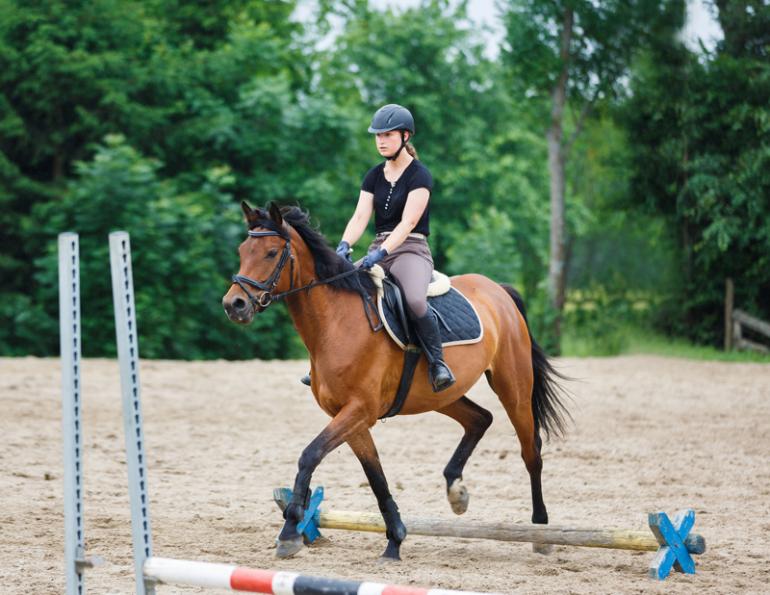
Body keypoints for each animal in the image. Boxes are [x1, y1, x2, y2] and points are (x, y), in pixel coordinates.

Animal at [222, 202, 570, 561]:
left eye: (271, 252)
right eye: (242, 251)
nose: (234, 305)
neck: (336, 322)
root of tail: (499, 290)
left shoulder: (360, 410)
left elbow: (310, 455)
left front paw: (290, 532)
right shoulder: (350, 417)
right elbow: (375, 475)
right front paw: (395, 539)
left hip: (513, 388)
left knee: (531, 452)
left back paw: (541, 532)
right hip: (440, 396)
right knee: (480, 419)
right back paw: (456, 492)